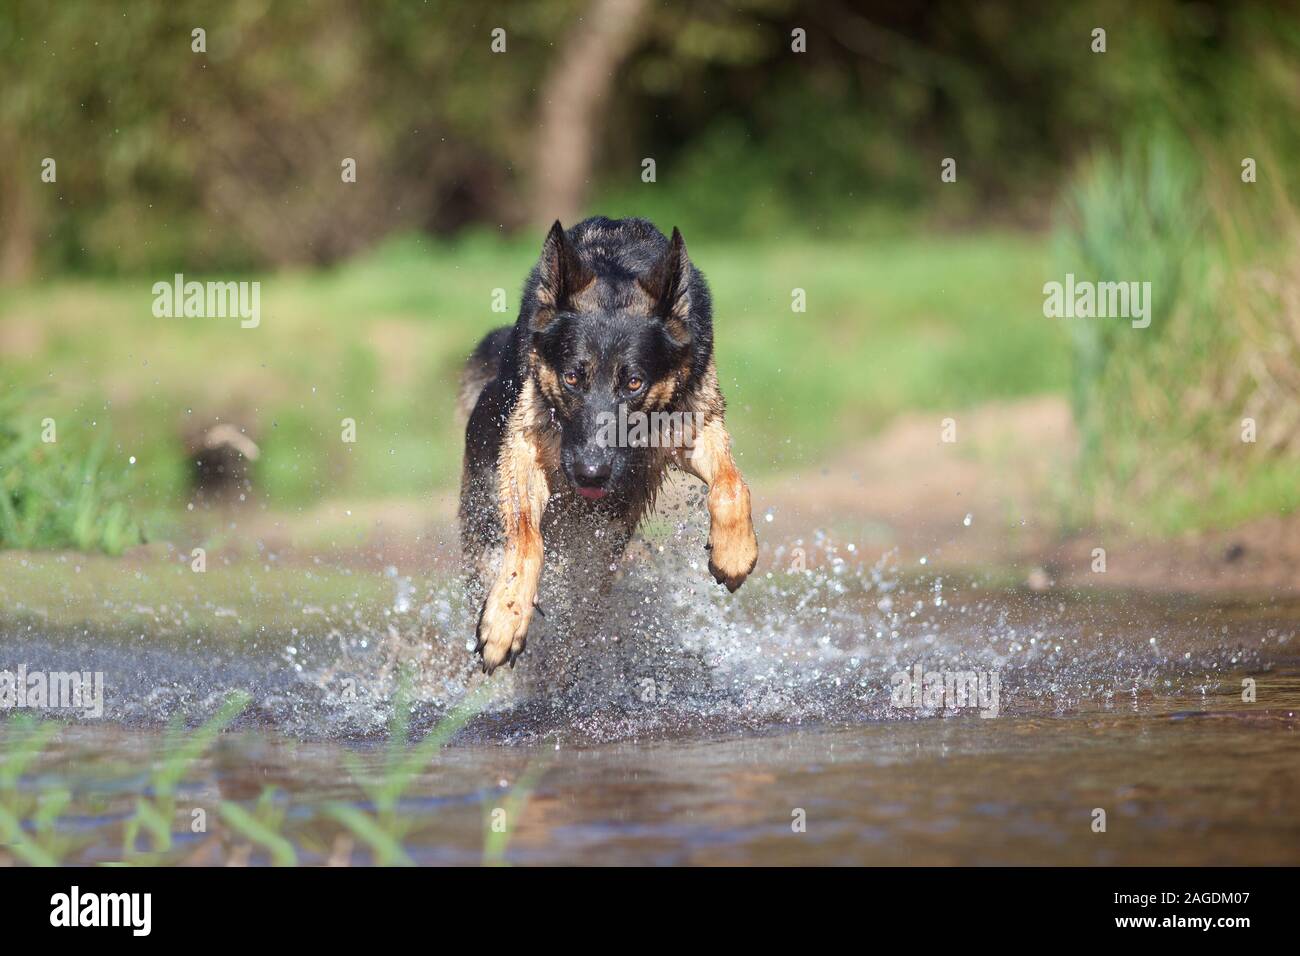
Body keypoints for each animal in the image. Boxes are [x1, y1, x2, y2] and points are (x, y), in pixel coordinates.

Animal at [460, 221, 759, 676]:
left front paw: (735, 551)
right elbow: (527, 537)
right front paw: (505, 619)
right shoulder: (526, 449)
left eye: (633, 383)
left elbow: (731, 483)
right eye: (572, 378)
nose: (590, 473)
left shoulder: (695, 425)